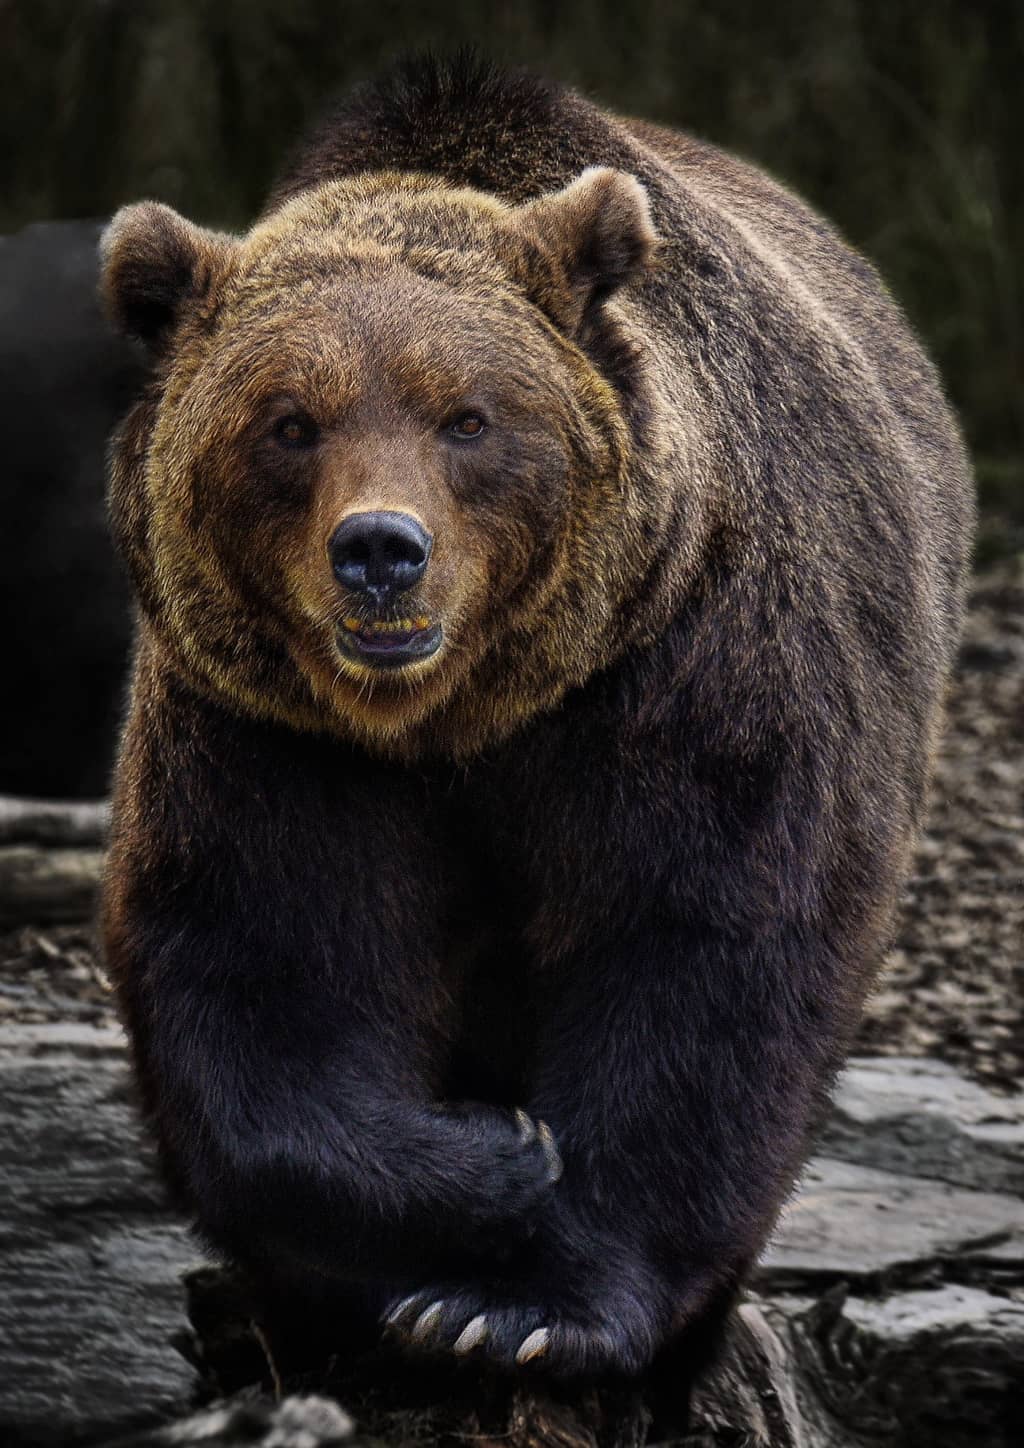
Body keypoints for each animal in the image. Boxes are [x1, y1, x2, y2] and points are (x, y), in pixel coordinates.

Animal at [99, 54, 973, 1382]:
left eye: (466, 416)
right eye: (289, 421)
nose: (380, 552)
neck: (465, 715)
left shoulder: (693, 673)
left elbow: (701, 942)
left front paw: (522, 1305)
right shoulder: (267, 726)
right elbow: (266, 957)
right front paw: (490, 1164)